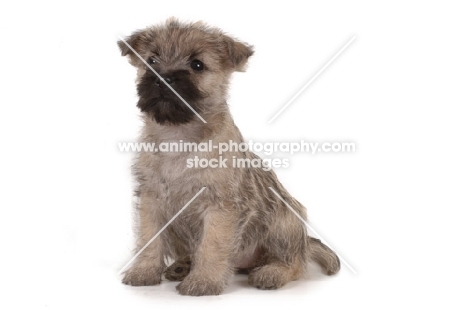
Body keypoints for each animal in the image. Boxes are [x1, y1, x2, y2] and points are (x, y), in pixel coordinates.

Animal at [116, 17, 336, 296]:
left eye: (197, 64)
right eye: (151, 60)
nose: (163, 78)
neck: (178, 136)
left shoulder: (220, 207)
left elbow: (212, 244)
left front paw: (204, 281)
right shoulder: (151, 201)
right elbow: (149, 239)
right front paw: (144, 271)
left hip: (284, 221)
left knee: (295, 262)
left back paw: (272, 272)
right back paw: (183, 265)